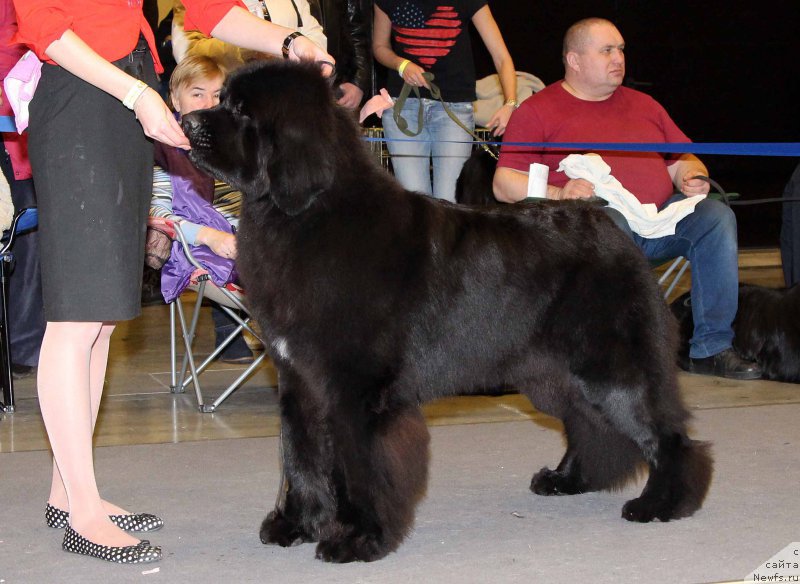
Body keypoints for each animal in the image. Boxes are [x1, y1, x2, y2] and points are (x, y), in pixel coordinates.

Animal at [183, 61, 712, 564]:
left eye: (241, 112)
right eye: (220, 99)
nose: (187, 122)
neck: (304, 215)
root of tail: (610, 225)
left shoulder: (356, 388)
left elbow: (358, 466)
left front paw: (358, 539)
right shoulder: (299, 378)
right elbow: (299, 456)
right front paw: (295, 526)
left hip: (609, 367)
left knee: (666, 434)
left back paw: (662, 504)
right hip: (553, 375)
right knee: (589, 424)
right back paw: (567, 479)